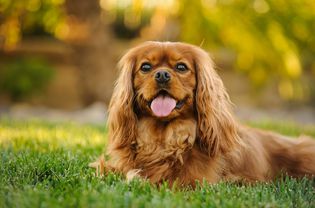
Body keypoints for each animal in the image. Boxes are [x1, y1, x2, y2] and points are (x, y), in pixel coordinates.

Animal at [89, 41, 315, 186]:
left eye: (181, 67)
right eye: (145, 67)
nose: (161, 74)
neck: (162, 138)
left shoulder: (192, 180)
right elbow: (107, 170)